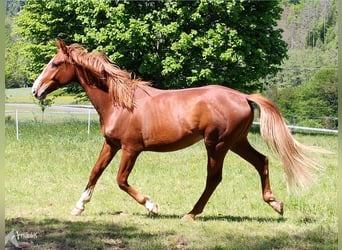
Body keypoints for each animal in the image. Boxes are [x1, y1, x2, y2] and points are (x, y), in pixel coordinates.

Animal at [32, 40, 320, 220]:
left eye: (55, 64)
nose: (36, 90)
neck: (120, 102)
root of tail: (243, 96)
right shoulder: (111, 144)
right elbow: (95, 172)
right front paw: (78, 207)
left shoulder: (131, 149)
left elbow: (120, 180)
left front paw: (152, 206)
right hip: (236, 142)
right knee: (262, 161)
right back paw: (276, 204)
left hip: (216, 145)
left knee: (214, 178)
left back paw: (191, 214)